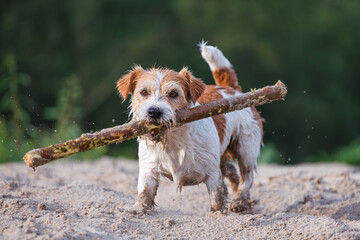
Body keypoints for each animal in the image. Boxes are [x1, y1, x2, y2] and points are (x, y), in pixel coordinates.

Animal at [116, 42, 262, 213]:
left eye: (173, 94)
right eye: (144, 92)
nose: (154, 111)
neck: (173, 139)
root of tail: (232, 90)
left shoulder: (212, 174)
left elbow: (217, 196)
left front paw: (218, 213)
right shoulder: (149, 169)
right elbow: (145, 190)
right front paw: (139, 208)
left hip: (246, 149)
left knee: (247, 178)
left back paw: (240, 201)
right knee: (233, 173)